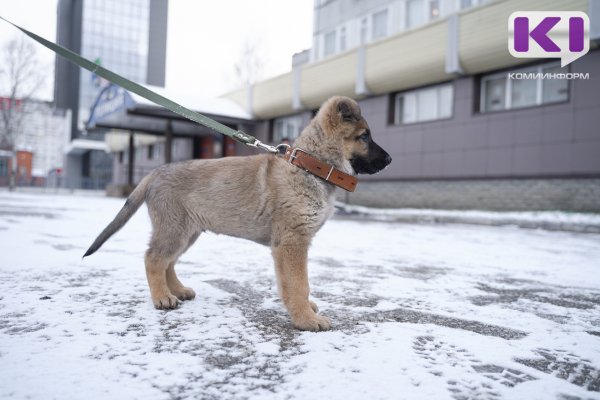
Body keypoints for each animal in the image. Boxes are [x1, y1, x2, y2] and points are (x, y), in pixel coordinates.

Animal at [85, 97, 394, 332]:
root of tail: (156, 172)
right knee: (154, 258)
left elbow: (291, 284)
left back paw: (177, 291)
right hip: (174, 228)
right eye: (364, 136)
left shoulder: (288, 245)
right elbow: (299, 284)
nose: (390, 160)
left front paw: (302, 310)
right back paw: (162, 297)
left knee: (167, 261)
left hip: (186, 231)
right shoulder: (292, 243)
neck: (310, 166)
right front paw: (306, 319)